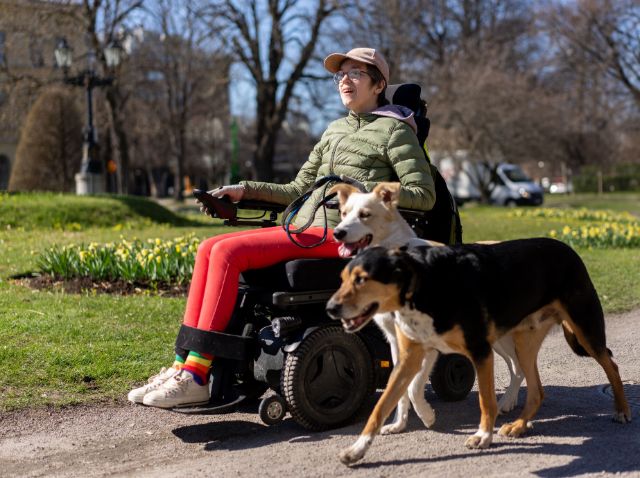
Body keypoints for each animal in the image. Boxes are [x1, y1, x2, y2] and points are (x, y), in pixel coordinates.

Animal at [328, 241, 632, 464]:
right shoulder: (409, 359)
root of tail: (568, 248)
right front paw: (357, 449)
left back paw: (622, 410)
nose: (330, 308)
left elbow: (486, 400)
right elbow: (380, 408)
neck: (424, 285)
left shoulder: (481, 351)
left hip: (585, 329)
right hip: (524, 341)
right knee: (537, 390)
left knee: (611, 365)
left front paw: (484, 436)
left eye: (362, 279)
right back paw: (519, 425)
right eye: (342, 279)